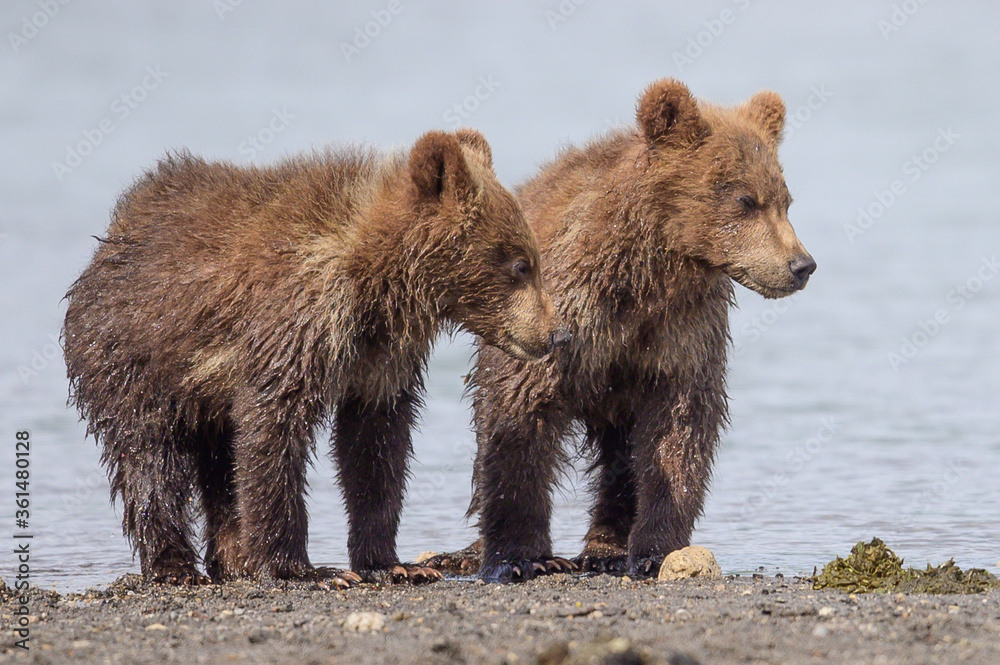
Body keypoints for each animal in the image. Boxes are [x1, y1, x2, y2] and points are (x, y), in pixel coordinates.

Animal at [62, 129, 567, 587]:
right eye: (521, 264)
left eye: (535, 261)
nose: (556, 333)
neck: (376, 283)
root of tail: (114, 235)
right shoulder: (296, 319)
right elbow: (274, 428)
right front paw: (307, 570)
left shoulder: (379, 356)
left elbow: (375, 445)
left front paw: (393, 563)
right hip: (133, 357)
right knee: (150, 457)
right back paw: (175, 566)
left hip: (202, 394)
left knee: (219, 465)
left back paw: (234, 559)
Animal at [423, 79, 816, 582]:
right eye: (745, 200)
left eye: (785, 201)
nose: (801, 265)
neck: (648, 271)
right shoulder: (560, 314)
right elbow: (518, 419)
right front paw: (519, 556)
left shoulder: (681, 329)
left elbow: (679, 426)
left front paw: (655, 548)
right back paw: (468, 551)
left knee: (620, 455)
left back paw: (605, 547)